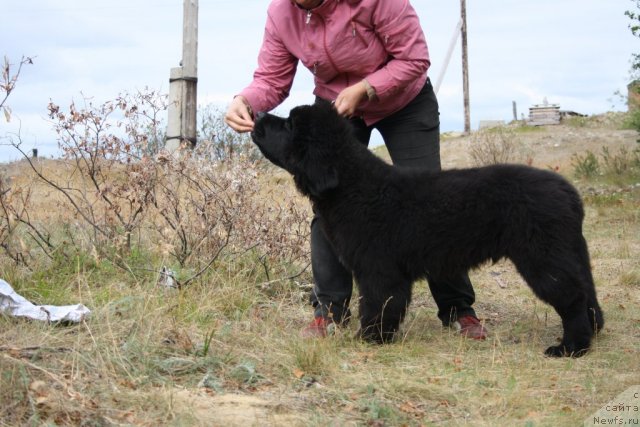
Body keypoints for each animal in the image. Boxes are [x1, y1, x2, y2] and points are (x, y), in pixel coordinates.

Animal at [251, 103, 604, 358]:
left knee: (572, 298)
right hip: (568, 253)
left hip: (543, 259)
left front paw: (371, 338)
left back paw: (571, 348)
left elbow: (378, 305)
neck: (353, 185)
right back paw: (594, 332)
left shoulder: (379, 269)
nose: (256, 114)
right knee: (587, 293)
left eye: (289, 124)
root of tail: (569, 193)